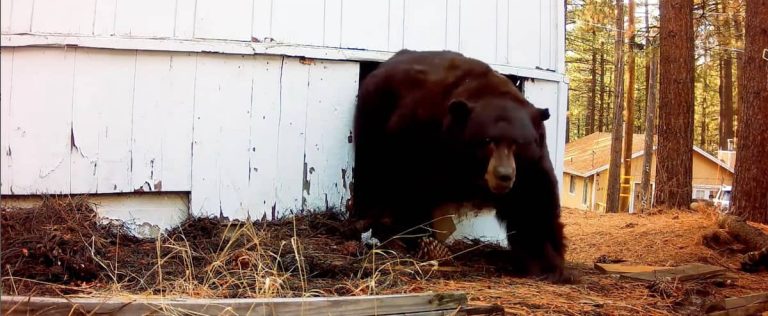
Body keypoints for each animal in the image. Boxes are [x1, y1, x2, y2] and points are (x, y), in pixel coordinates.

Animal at [346, 50, 564, 284]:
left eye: (518, 143)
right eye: (487, 141)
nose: (503, 175)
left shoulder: (529, 164)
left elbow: (533, 202)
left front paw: (546, 264)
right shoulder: (421, 137)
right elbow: (411, 187)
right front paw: (415, 238)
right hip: (373, 118)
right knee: (373, 170)